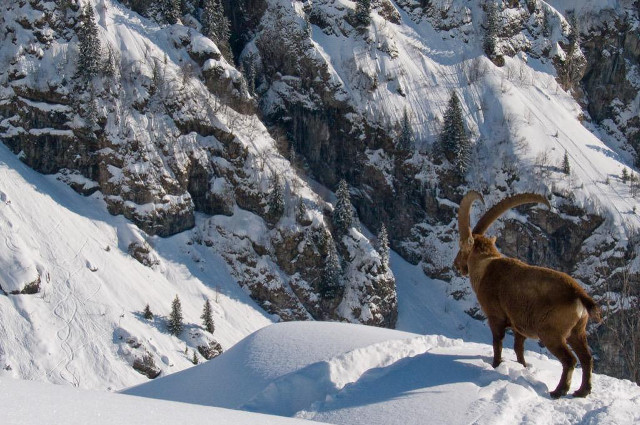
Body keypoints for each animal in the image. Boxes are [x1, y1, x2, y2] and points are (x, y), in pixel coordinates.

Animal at [453, 191, 601, 398]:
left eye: (461, 247)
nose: (456, 265)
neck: (485, 267)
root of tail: (578, 293)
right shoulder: (519, 326)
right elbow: (519, 348)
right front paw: (522, 366)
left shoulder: (496, 316)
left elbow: (497, 343)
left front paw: (496, 365)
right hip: (577, 332)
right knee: (587, 358)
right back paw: (582, 391)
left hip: (551, 333)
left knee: (570, 360)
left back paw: (558, 391)